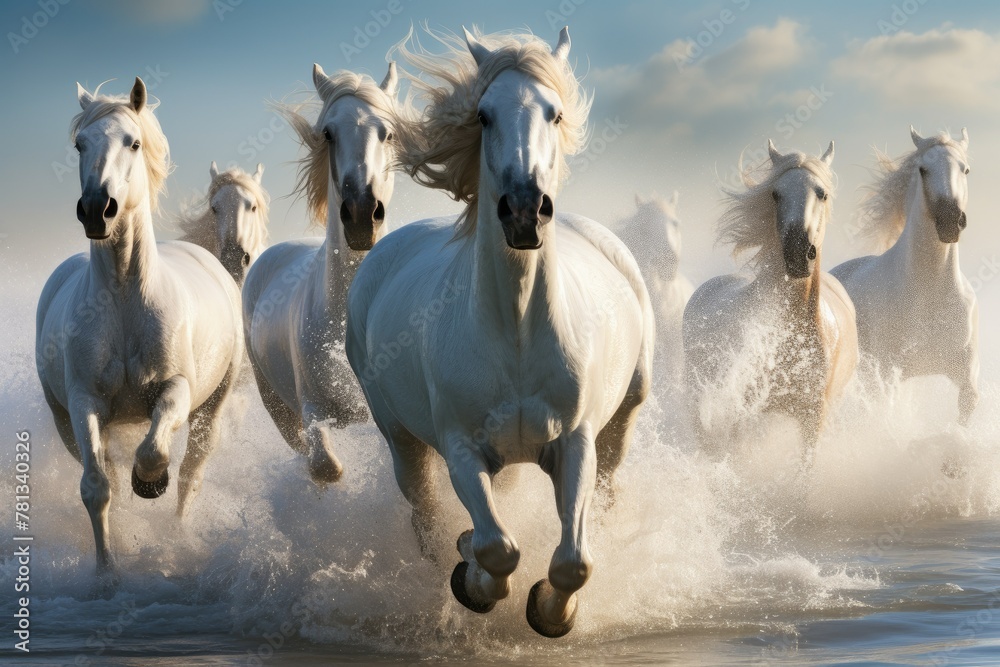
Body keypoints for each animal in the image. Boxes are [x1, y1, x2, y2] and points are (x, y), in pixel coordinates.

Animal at [35, 78, 244, 576]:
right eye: (80, 144)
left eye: (132, 142)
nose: (98, 209)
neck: (126, 303)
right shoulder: (83, 404)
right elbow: (96, 487)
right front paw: (107, 573)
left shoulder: (177, 388)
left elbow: (154, 452)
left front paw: (150, 482)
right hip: (64, 419)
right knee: (106, 469)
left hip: (213, 407)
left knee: (191, 473)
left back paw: (177, 533)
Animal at [242, 62, 407, 484]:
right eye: (328, 134)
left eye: (389, 133)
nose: (362, 214)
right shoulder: (314, 411)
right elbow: (325, 467)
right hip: (276, 407)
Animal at [346, 27, 654, 638]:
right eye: (484, 116)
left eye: (555, 113)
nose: (524, 210)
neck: (515, 334)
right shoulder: (461, 450)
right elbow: (497, 547)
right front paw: (474, 583)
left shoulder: (577, 442)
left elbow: (573, 559)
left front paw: (551, 612)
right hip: (401, 439)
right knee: (426, 519)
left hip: (620, 425)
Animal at [831, 127, 977, 425]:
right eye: (923, 169)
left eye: (965, 169)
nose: (950, 221)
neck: (929, 291)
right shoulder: (887, 376)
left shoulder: (965, 378)